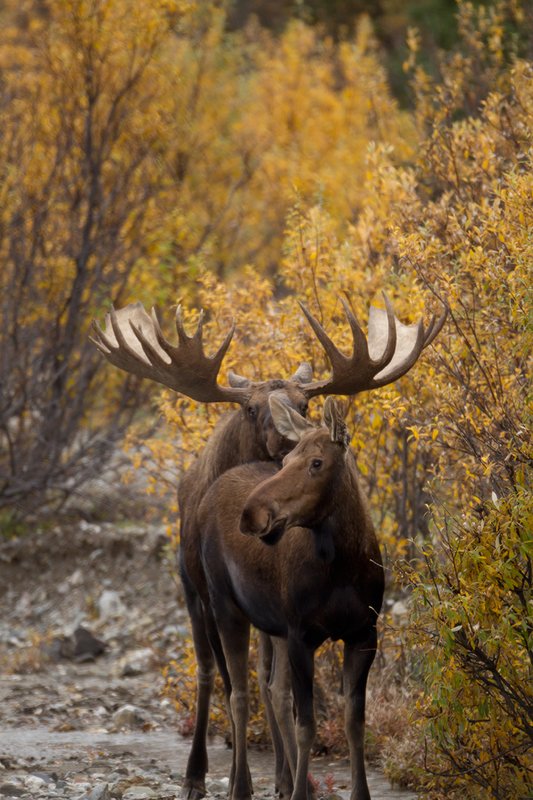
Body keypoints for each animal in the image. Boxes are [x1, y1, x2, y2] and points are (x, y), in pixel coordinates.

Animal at [90, 295, 446, 800]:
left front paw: (307, 781)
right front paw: (270, 782)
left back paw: (280, 774)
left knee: (265, 686)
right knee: (219, 680)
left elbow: (347, 720)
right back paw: (211, 777)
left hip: (259, 616)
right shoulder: (291, 629)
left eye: (305, 402)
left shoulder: (361, 632)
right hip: (203, 595)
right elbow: (287, 712)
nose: (255, 511)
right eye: (251, 410)